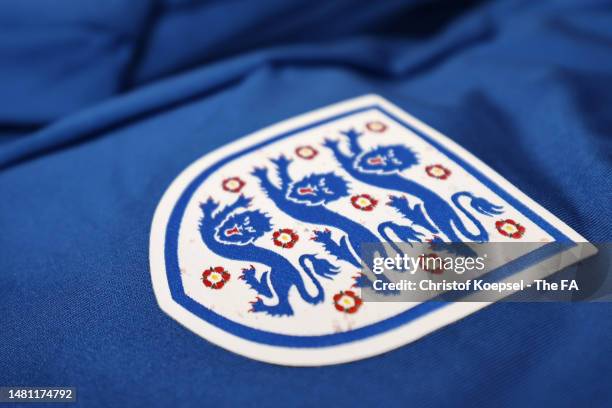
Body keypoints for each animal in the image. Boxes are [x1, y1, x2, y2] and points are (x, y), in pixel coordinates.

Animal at [198, 196, 340, 318]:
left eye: (248, 227)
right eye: (244, 222)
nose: (237, 229)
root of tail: (296, 276)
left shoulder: (209, 235)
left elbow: (210, 220)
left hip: (277, 278)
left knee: (285, 307)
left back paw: (261, 304)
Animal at [322, 129, 504, 242]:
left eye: (392, 159)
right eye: (386, 155)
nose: (378, 159)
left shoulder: (352, 167)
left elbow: (344, 158)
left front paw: (335, 145)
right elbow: (354, 150)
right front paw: (349, 136)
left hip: (436, 216)